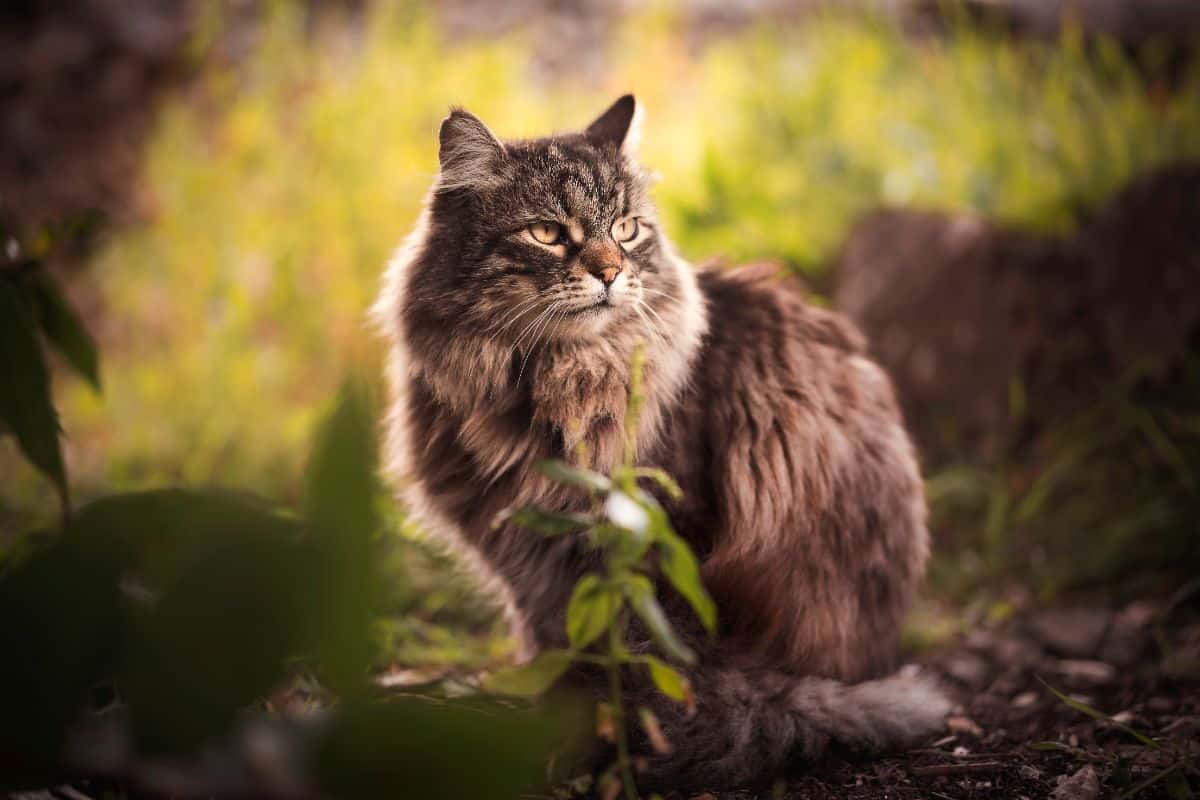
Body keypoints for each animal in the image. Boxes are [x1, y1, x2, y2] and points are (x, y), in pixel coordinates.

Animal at [374, 97, 945, 791]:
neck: (541, 383)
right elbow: (552, 646)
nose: (610, 273)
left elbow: (644, 663)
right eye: (547, 234)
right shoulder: (532, 566)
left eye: (625, 229)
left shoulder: (652, 545)